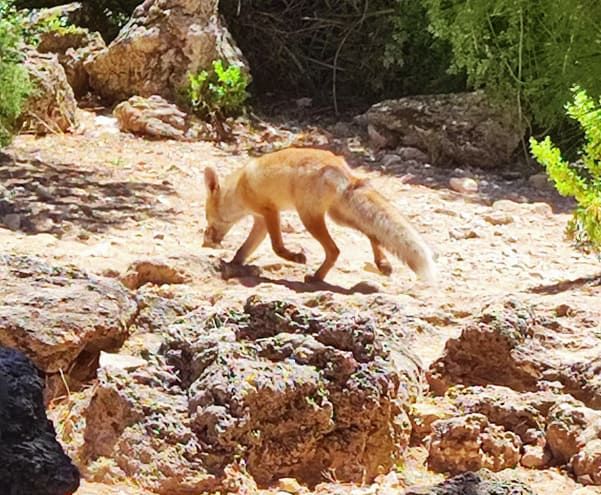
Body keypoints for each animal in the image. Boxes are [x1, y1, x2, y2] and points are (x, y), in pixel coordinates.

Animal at [202, 146, 436, 282]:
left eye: (207, 217)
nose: (206, 242)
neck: (239, 188)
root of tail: (342, 169)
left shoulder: (270, 212)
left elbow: (277, 247)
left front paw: (296, 257)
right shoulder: (260, 221)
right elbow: (244, 250)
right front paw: (233, 264)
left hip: (309, 217)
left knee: (335, 250)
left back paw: (317, 277)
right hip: (338, 217)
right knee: (372, 233)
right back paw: (383, 264)